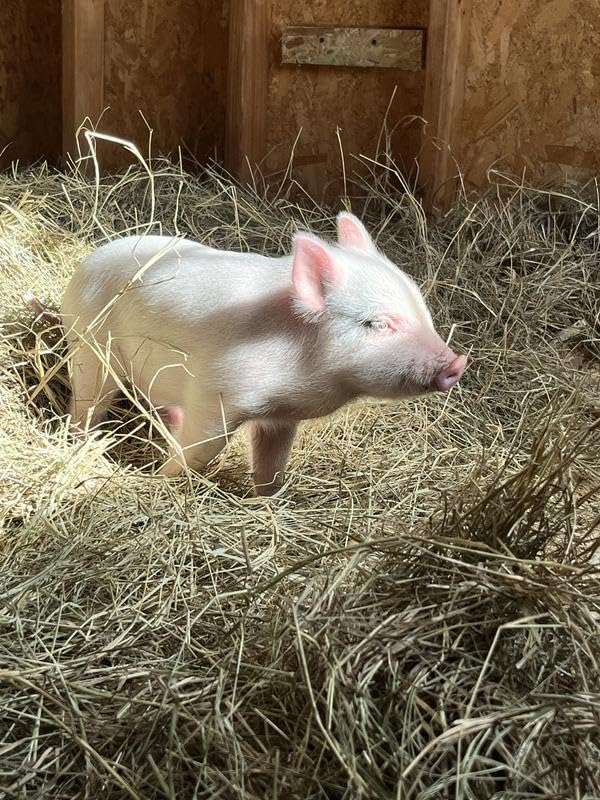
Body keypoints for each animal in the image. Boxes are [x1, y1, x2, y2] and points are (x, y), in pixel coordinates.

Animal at [60, 213, 466, 494]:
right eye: (377, 324)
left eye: (422, 310)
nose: (457, 363)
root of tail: (84, 265)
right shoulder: (215, 394)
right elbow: (199, 451)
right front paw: (161, 479)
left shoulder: (281, 418)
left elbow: (272, 465)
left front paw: (268, 499)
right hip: (89, 347)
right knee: (87, 404)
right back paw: (82, 442)